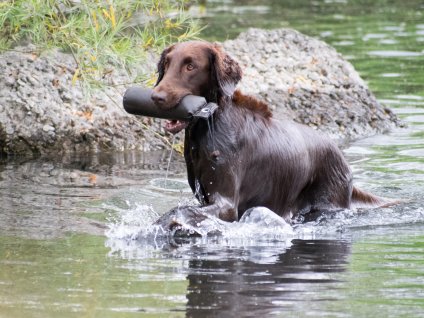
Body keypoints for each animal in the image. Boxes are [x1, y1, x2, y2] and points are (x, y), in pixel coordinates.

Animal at [152, 41, 390, 230]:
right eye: (166, 64)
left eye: (190, 66)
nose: (156, 97)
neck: (211, 122)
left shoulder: (226, 204)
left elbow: (181, 210)